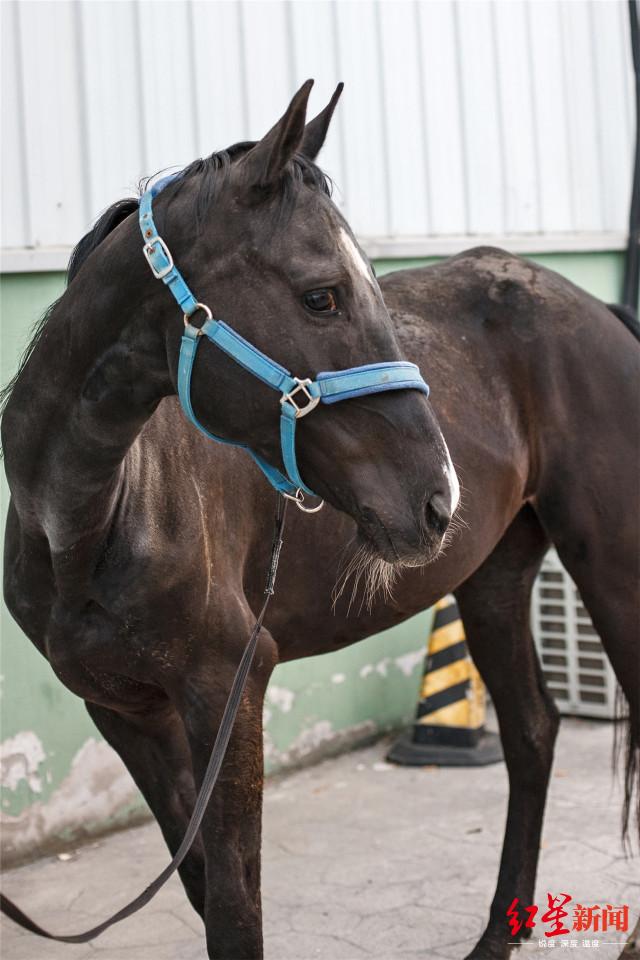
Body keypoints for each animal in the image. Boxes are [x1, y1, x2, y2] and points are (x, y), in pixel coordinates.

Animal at [3, 82, 640, 960]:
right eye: (322, 294)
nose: (438, 498)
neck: (88, 523)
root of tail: (601, 310)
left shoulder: (229, 689)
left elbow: (236, 909)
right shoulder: (128, 712)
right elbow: (203, 887)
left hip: (610, 560)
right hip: (494, 578)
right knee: (532, 732)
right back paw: (495, 935)